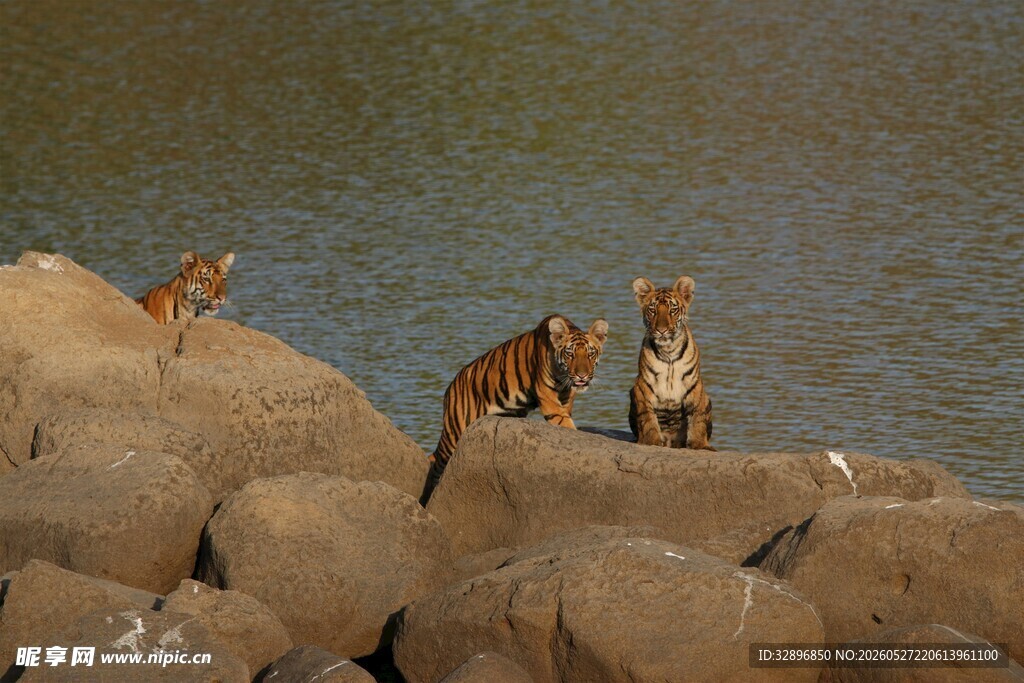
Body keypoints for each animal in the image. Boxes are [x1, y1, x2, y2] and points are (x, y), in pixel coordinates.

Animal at [421, 314, 608, 504]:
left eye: (590, 354)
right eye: (570, 354)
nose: (581, 376)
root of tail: (450, 387)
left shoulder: (565, 400)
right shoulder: (550, 403)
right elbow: (567, 425)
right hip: (454, 434)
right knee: (436, 464)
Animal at [628, 275, 714, 450]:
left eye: (672, 310)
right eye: (652, 310)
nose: (661, 330)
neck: (668, 350)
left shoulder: (695, 386)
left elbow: (698, 419)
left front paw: (700, 445)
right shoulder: (642, 387)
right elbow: (648, 420)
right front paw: (651, 442)